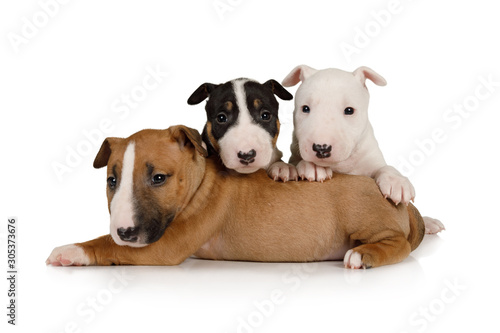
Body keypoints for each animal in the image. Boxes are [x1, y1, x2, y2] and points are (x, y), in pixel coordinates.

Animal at [46, 126, 426, 268]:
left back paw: (363, 255)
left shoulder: (165, 246)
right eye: (112, 180)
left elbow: (109, 247)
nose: (125, 231)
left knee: (398, 243)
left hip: (364, 214)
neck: (201, 183)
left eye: (158, 178)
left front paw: (71, 250)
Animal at [284, 64, 416, 205]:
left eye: (349, 110)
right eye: (305, 108)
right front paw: (313, 166)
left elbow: (384, 167)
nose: (321, 148)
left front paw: (397, 182)